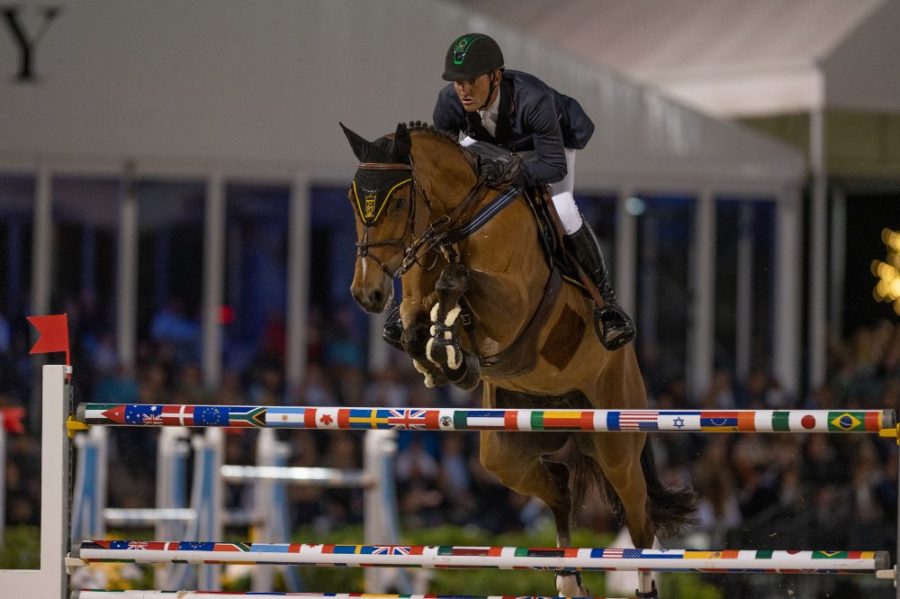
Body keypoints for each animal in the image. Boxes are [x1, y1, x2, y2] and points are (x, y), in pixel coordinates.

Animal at [340, 122, 696, 599]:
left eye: (397, 200)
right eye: (352, 200)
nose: (368, 294)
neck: (456, 221)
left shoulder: (511, 305)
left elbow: (463, 286)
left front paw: (450, 341)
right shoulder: (419, 284)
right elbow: (417, 327)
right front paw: (446, 358)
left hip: (615, 444)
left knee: (639, 523)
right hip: (506, 452)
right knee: (560, 488)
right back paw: (568, 579)